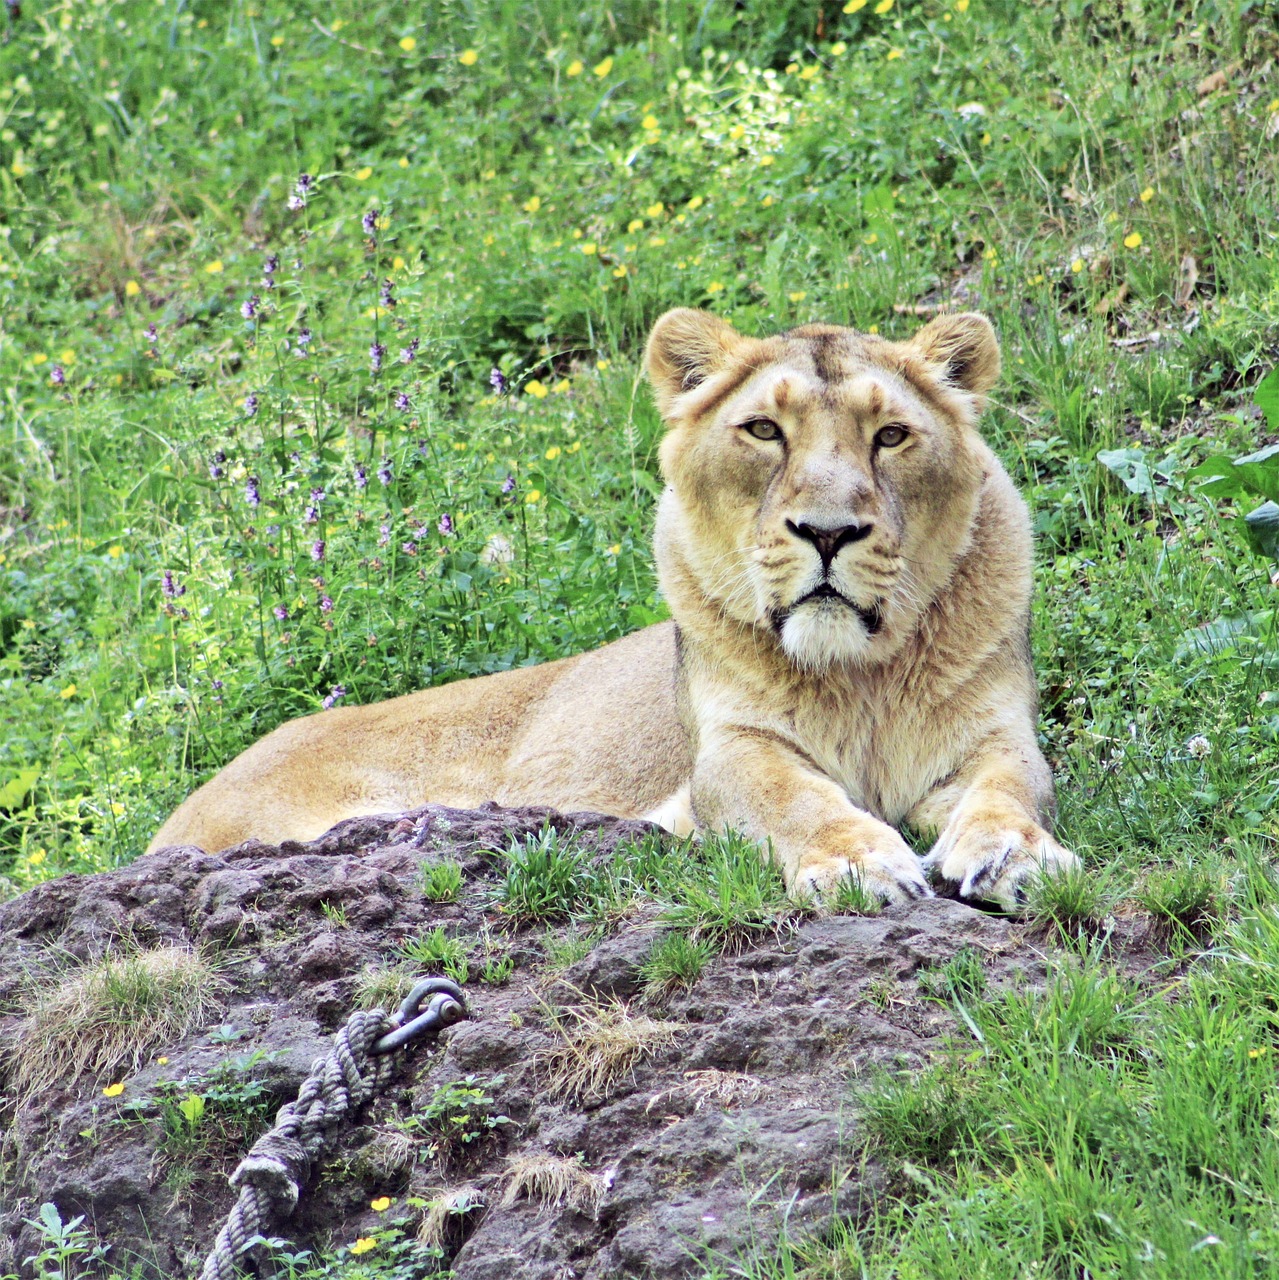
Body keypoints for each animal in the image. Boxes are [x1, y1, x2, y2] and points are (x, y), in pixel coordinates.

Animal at [149, 309, 1080, 911]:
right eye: (763, 432)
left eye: (890, 436)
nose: (826, 532)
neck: (859, 677)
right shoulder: (724, 757)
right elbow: (791, 797)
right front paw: (858, 864)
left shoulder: (995, 733)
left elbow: (1012, 786)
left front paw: (1014, 855)